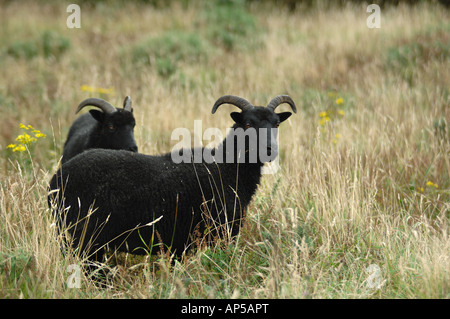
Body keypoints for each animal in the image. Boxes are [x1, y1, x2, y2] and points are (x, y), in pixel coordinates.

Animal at [48, 94, 296, 262]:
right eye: (248, 124)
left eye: (276, 124)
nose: (269, 149)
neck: (226, 167)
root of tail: (55, 180)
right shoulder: (218, 233)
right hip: (83, 239)